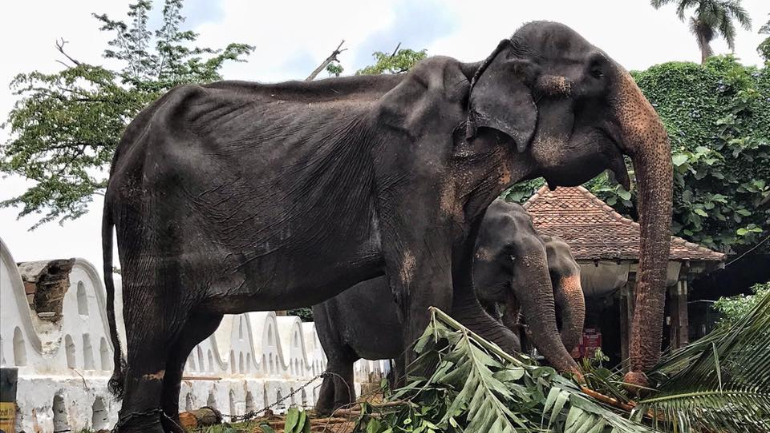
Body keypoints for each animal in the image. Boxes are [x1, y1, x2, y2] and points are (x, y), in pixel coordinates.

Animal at [313, 199, 585, 415]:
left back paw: (326, 411)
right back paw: (344, 411)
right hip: (324, 311)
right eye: (509, 255)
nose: (584, 383)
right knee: (340, 358)